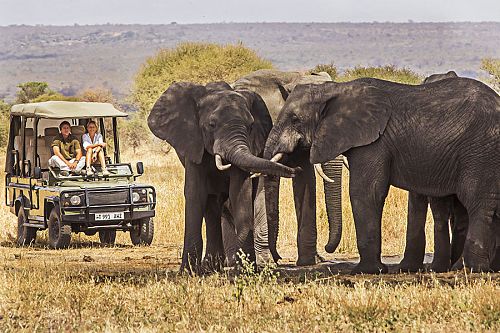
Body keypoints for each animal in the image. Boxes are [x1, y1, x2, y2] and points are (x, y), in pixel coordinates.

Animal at [147, 81, 296, 272]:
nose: (295, 170)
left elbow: (239, 191)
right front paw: (188, 271)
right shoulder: (194, 145)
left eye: (250, 126)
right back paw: (212, 266)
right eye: (211, 124)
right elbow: (195, 194)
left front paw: (244, 269)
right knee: (211, 206)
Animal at [264, 77, 498, 272]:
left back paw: (470, 268)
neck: (336, 89)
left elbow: (365, 192)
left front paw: (367, 271)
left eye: (295, 120)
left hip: (480, 151)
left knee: (476, 202)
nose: (327, 248)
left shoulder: (374, 143)